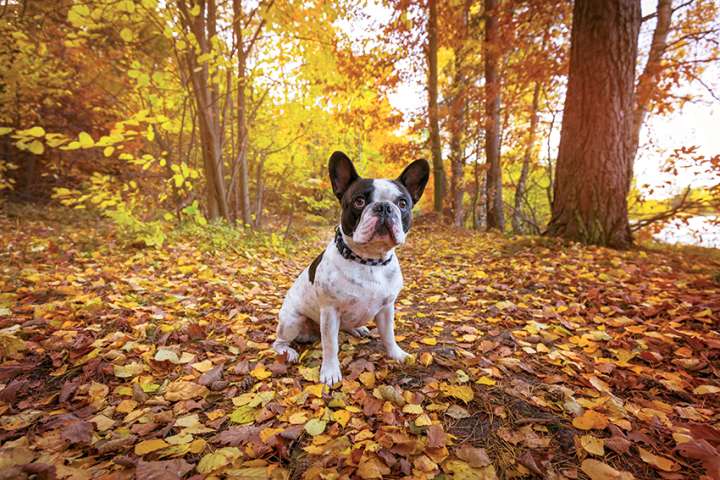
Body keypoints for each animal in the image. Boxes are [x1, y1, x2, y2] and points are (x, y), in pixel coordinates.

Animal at [270, 152, 428, 384]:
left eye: (402, 203)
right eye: (359, 201)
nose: (384, 207)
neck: (369, 261)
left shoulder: (387, 308)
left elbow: (389, 335)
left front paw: (396, 354)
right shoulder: (330, 311)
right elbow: (330, 345)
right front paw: (330, 371)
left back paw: (358, 328)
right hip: (291, 321)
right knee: (279, 342)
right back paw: (287, 352)